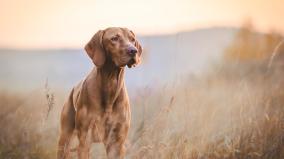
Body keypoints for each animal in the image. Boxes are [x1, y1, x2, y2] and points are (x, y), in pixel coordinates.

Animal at [56, 27, 142, 159]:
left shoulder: (117, 143)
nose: (133, 51)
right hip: (64, 139)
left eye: (132, 39)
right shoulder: (85, 141)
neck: (110, 85)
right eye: (114, 38)